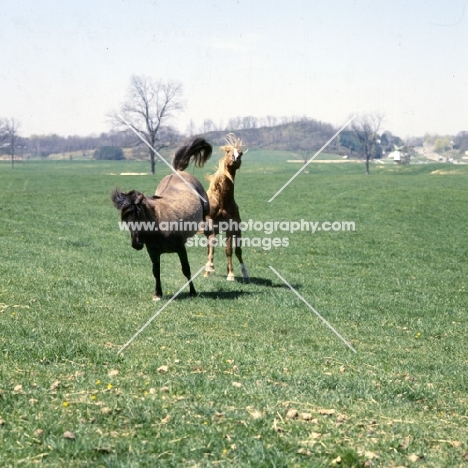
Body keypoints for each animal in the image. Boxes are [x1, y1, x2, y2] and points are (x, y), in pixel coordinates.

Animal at [112, 137, 211, 302]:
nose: (136, 244)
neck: (159, 227)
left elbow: (186, 269)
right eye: (126, 221)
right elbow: (156, 271)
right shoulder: (153, 252)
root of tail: (178, 172)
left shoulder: (180, 248)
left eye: (140, 217)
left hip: (206, 211)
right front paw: (157, 294)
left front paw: (192, 292)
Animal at [204, 133, 249, 284]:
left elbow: (229, 250)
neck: (222, 201)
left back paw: (244, 272)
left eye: (241, 153)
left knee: (238, 251)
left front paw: (231, 274)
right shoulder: (210, 223)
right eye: (229, 151)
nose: (236, 158)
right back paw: (207, 270)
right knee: (209, 247)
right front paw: (209, 267)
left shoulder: (230, 227)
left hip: (237, 230)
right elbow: (212, 244)